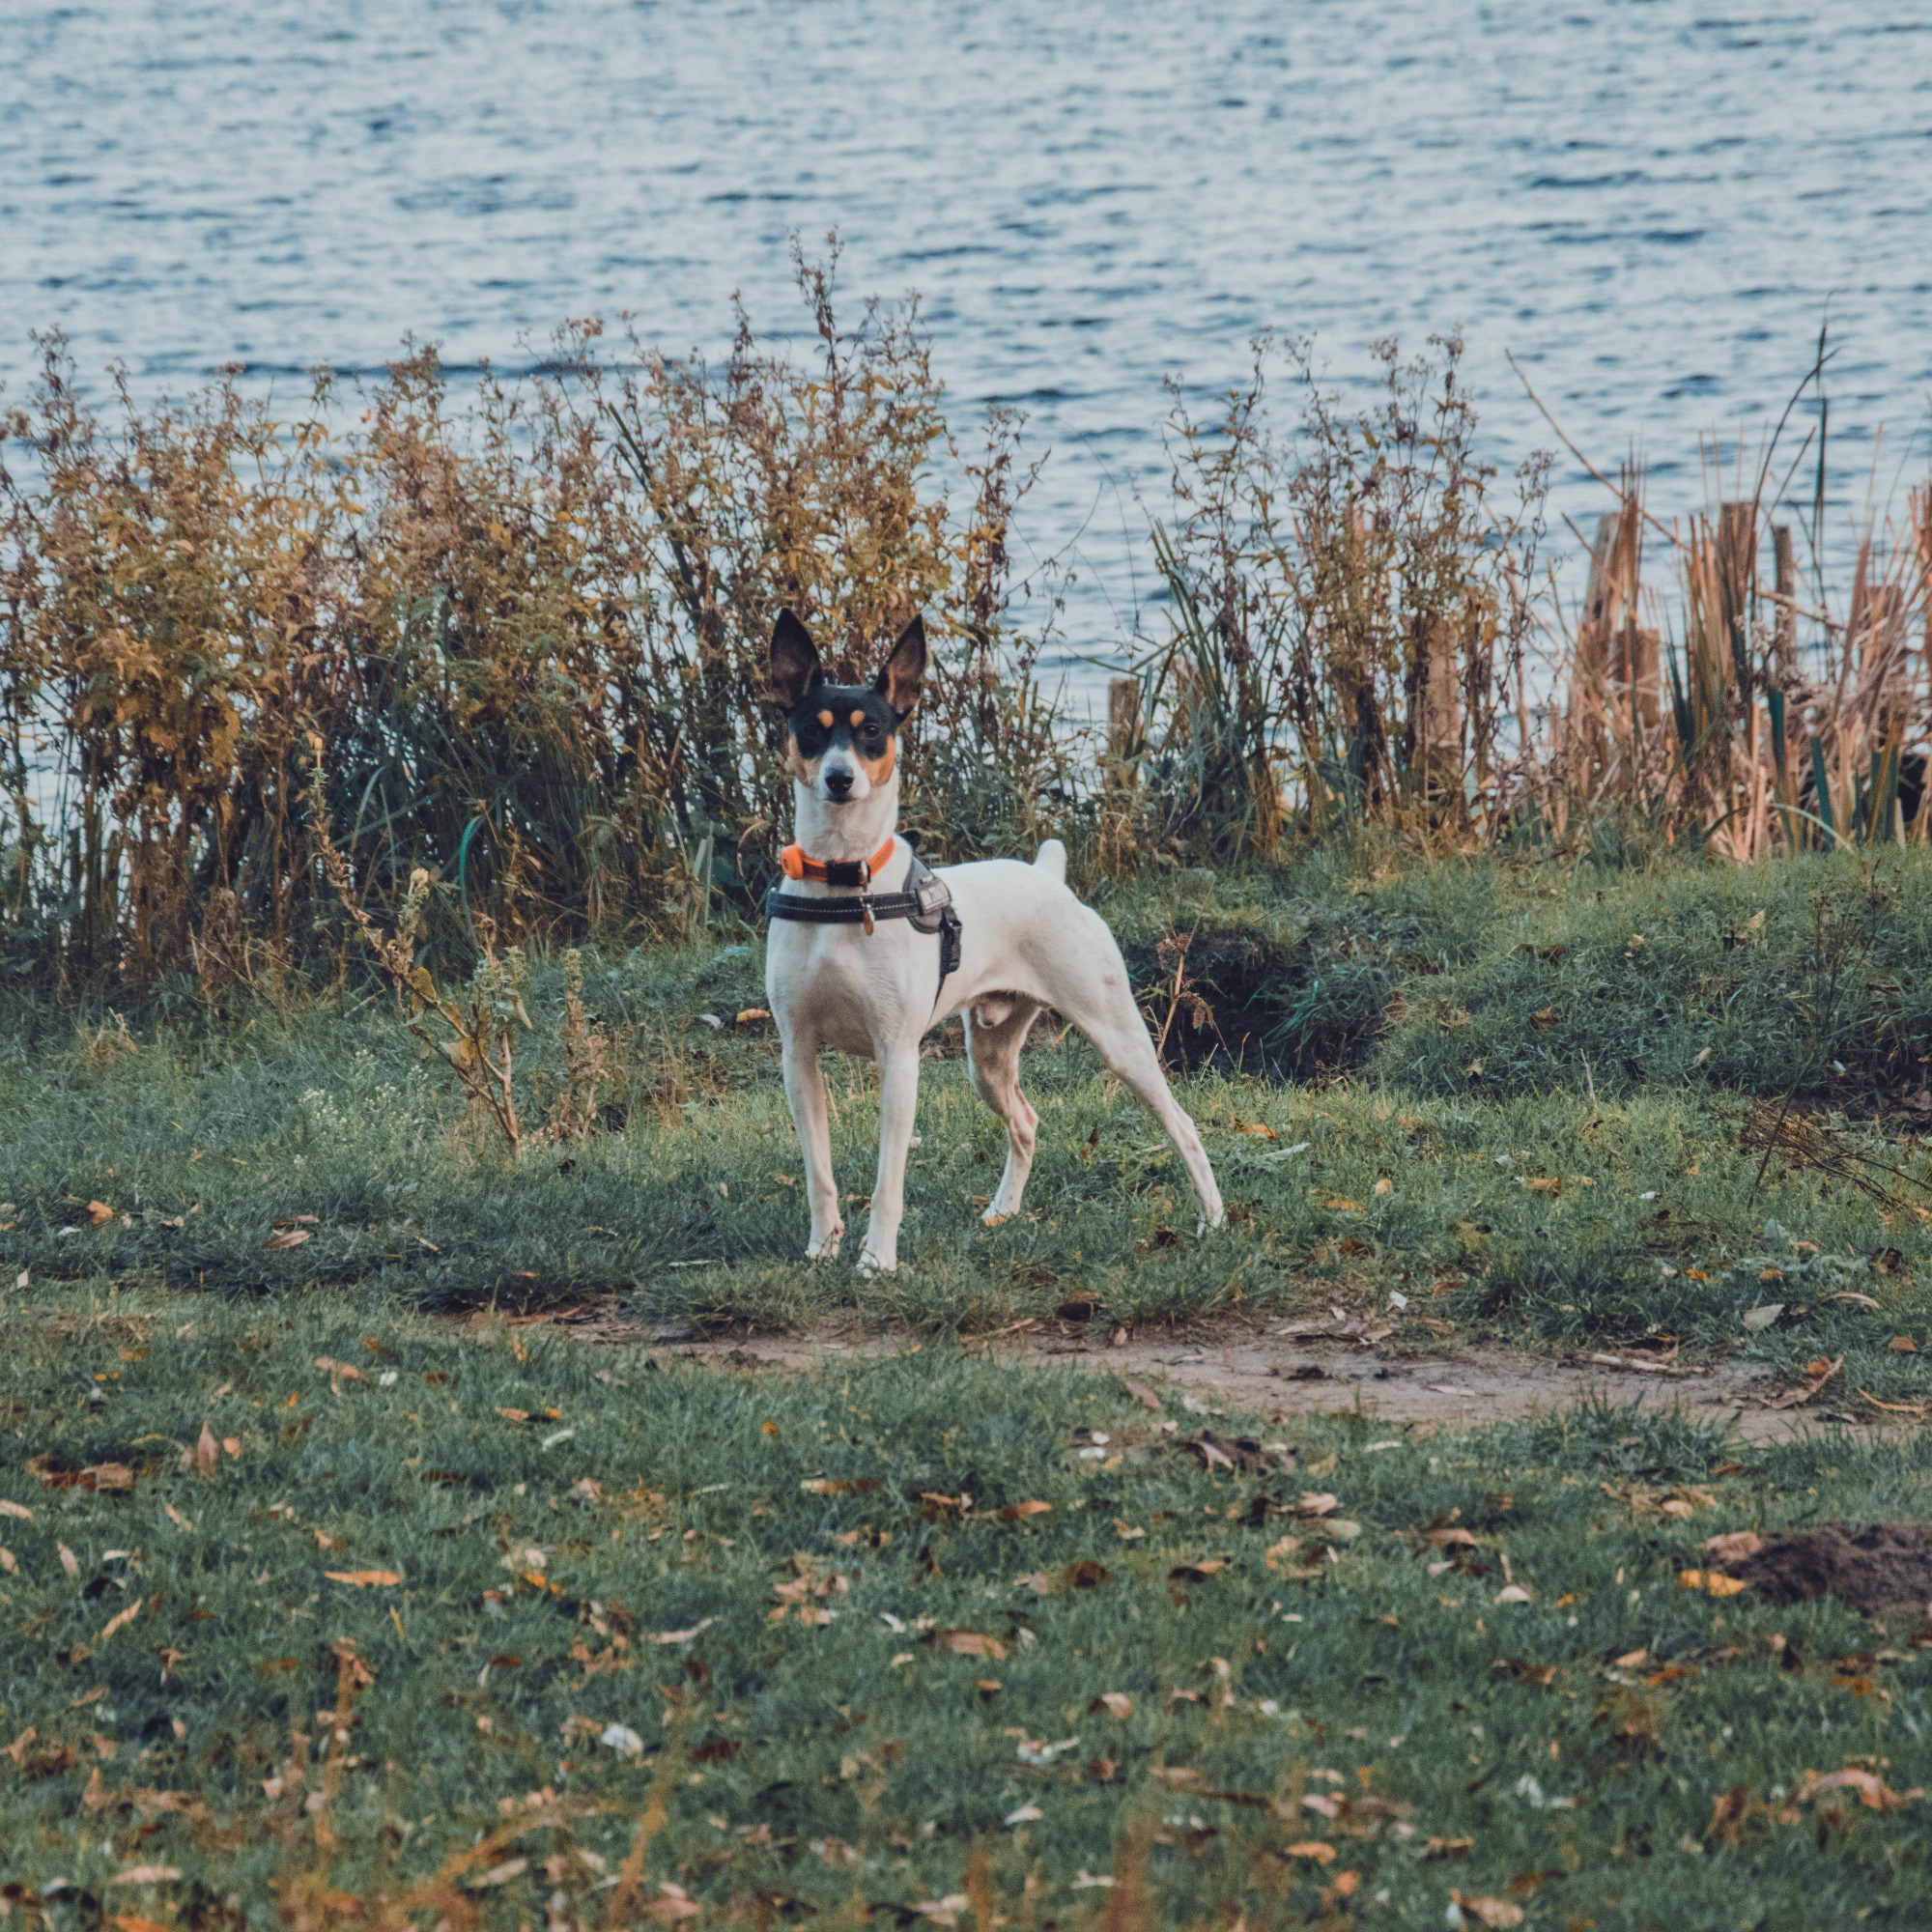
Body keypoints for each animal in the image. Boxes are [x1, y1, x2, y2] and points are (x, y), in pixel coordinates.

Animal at [757, 611, 1221, 1275]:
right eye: (810, 733)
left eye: (871, 731)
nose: (839, 779)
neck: (845, 886)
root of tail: (1049, 878)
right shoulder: (798, 1055)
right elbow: (818, 1172)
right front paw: (822, 1249)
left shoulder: (899, 1058)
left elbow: (887, 1179)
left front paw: (876, 1261)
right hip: (989, 1059)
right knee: (1026, 1121)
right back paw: (1004, 1212)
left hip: (1120, 1041)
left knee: (1182, 1124)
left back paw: (1212, 1219)